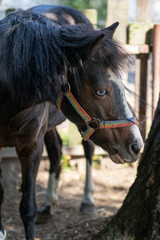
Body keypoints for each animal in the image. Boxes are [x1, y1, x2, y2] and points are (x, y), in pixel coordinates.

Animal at [0, 7, 143, 240]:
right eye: (101, 91)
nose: (136, 145)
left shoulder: (31, 147)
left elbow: (27, 209)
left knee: (87, 150)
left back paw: (87, 201)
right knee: (56, 150)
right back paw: (49, 204)